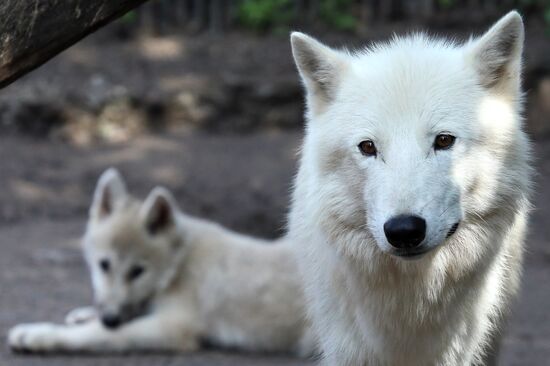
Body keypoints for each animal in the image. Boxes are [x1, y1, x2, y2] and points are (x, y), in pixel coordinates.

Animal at [8, 169, 314, 358]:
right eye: (104, 265)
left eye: (137, 271)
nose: (110, 318)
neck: (178, 264)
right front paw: (84, 314)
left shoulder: (172, 328)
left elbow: (97, 335)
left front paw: (37, 335)